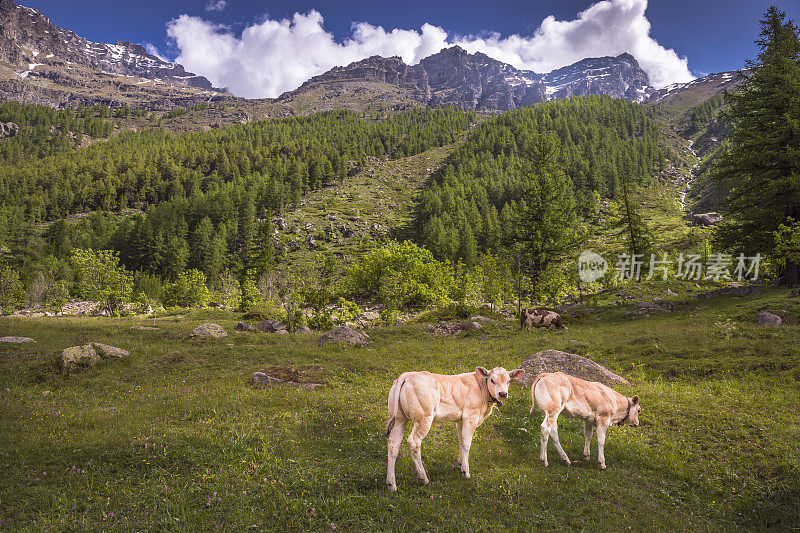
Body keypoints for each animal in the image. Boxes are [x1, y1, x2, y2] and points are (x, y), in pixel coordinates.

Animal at [382, 366, 524, 490]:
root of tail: (408, 374)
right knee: (413, 442)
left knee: (393, 444)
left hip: (399, 418)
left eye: (508, 381)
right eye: (492, 380)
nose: (503, 393)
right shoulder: (470, 417)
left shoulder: (460, 420)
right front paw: (466, 472)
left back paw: (391, 484)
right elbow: (466, 443)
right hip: (424, 417)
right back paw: (423, 478)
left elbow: (461, 441)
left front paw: (461, 464)